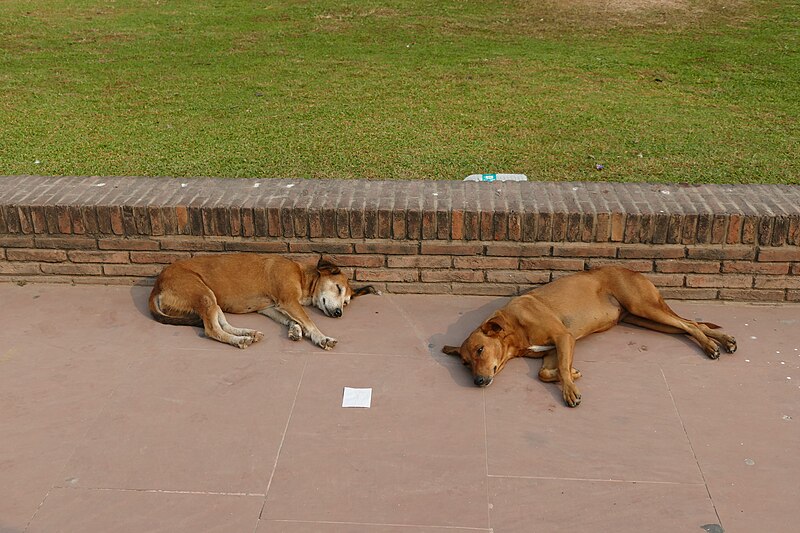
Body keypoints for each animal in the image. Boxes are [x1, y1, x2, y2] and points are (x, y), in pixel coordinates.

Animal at [150, 255, 378, 350]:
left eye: (346, 303)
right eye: (338, 288)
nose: (339, 313)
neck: (301, 275)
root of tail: (156, 286)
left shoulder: (271, 307)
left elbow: (292, 320)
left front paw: (295, 330)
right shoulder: (288, 301)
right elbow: (309, 322)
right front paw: (322, 338)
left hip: (212, 298)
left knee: (222, 323)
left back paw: (247, 333)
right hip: (203, 294)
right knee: (212, 329)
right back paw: (239, 341)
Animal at [444, 266, 736, 408]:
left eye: (480, 350)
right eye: (465, 363)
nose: (478, 381)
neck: (514, 327)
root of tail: (633, 271)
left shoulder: (563, 337)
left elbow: (561, 367)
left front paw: (569, 390)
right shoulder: (550, 350)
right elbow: (545, 372)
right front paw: (572, 375)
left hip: (643, 306)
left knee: (689, 324)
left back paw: (711, 345)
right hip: (643, 318)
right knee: (690, 324)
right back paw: (722, 340)